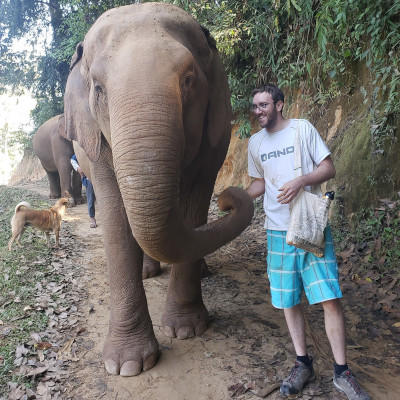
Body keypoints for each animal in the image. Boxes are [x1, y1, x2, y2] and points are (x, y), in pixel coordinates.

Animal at [59, 3, 253, 376]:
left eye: (188, 80)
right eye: (98, 89)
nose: (230, 199)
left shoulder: (212, 140)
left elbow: (193, 207)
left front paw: (187, 329)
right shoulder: (96, 148)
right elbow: (117, 219)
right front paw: (126, 365)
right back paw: (148, 272)